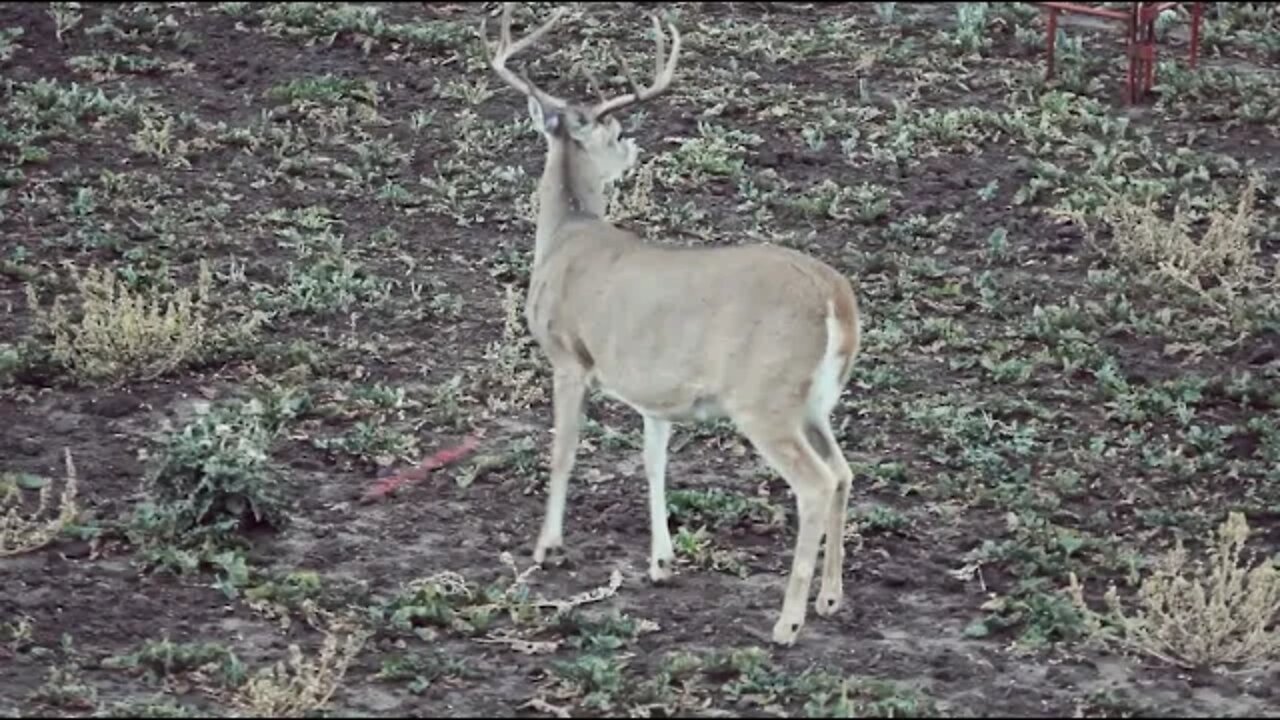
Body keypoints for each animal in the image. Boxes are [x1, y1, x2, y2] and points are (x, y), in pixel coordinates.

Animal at [478, 4, 860, 645]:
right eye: (613, 133)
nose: (632, 147)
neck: (566, 236)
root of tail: (836, 298)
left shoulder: (568, 355)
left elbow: (564, 450)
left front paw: (547, 548)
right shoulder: (653, 393)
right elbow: (654, 461)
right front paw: (662, 561)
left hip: (765, 396)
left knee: (815, 483)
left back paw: (787, 622)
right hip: (814, 403)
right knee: (844, 471)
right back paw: (831, 599)